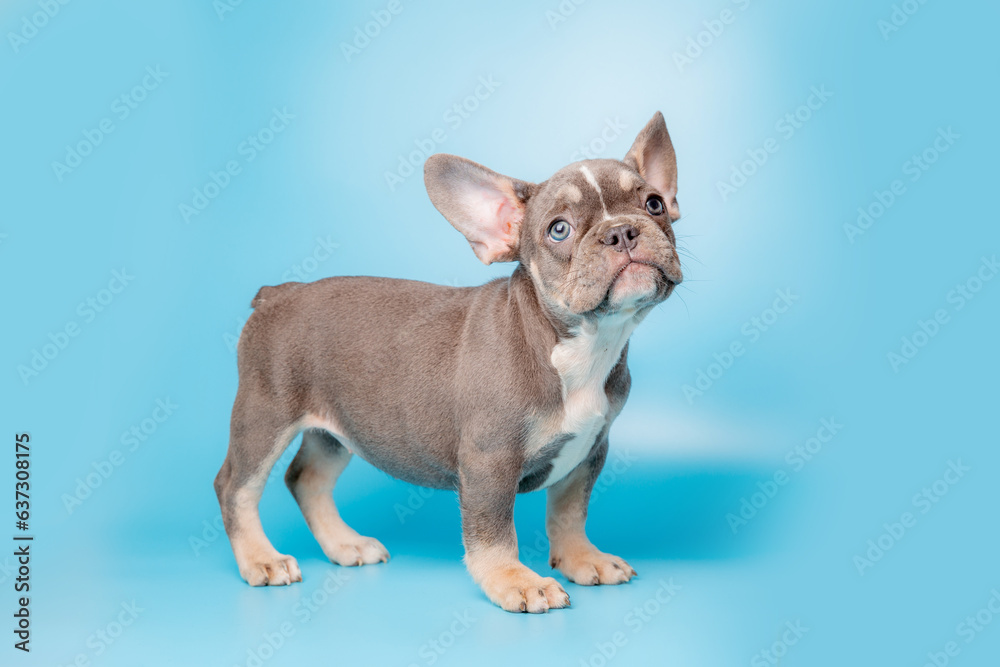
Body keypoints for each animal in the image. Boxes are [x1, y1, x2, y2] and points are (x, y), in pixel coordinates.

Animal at [215, 112, 684, 612]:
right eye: (559, 230)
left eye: (655, 203)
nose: (621, 231)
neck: (578, 344)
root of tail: (278, 294)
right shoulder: (488, 462)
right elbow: (494, 533)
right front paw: (515, 580)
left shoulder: (588, 451)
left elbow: (569, 511)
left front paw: (581, 557)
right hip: (265, 417)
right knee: (236, 486)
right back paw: (261, 559)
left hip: (336, 429)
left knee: (307, 478)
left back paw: (344, 543)